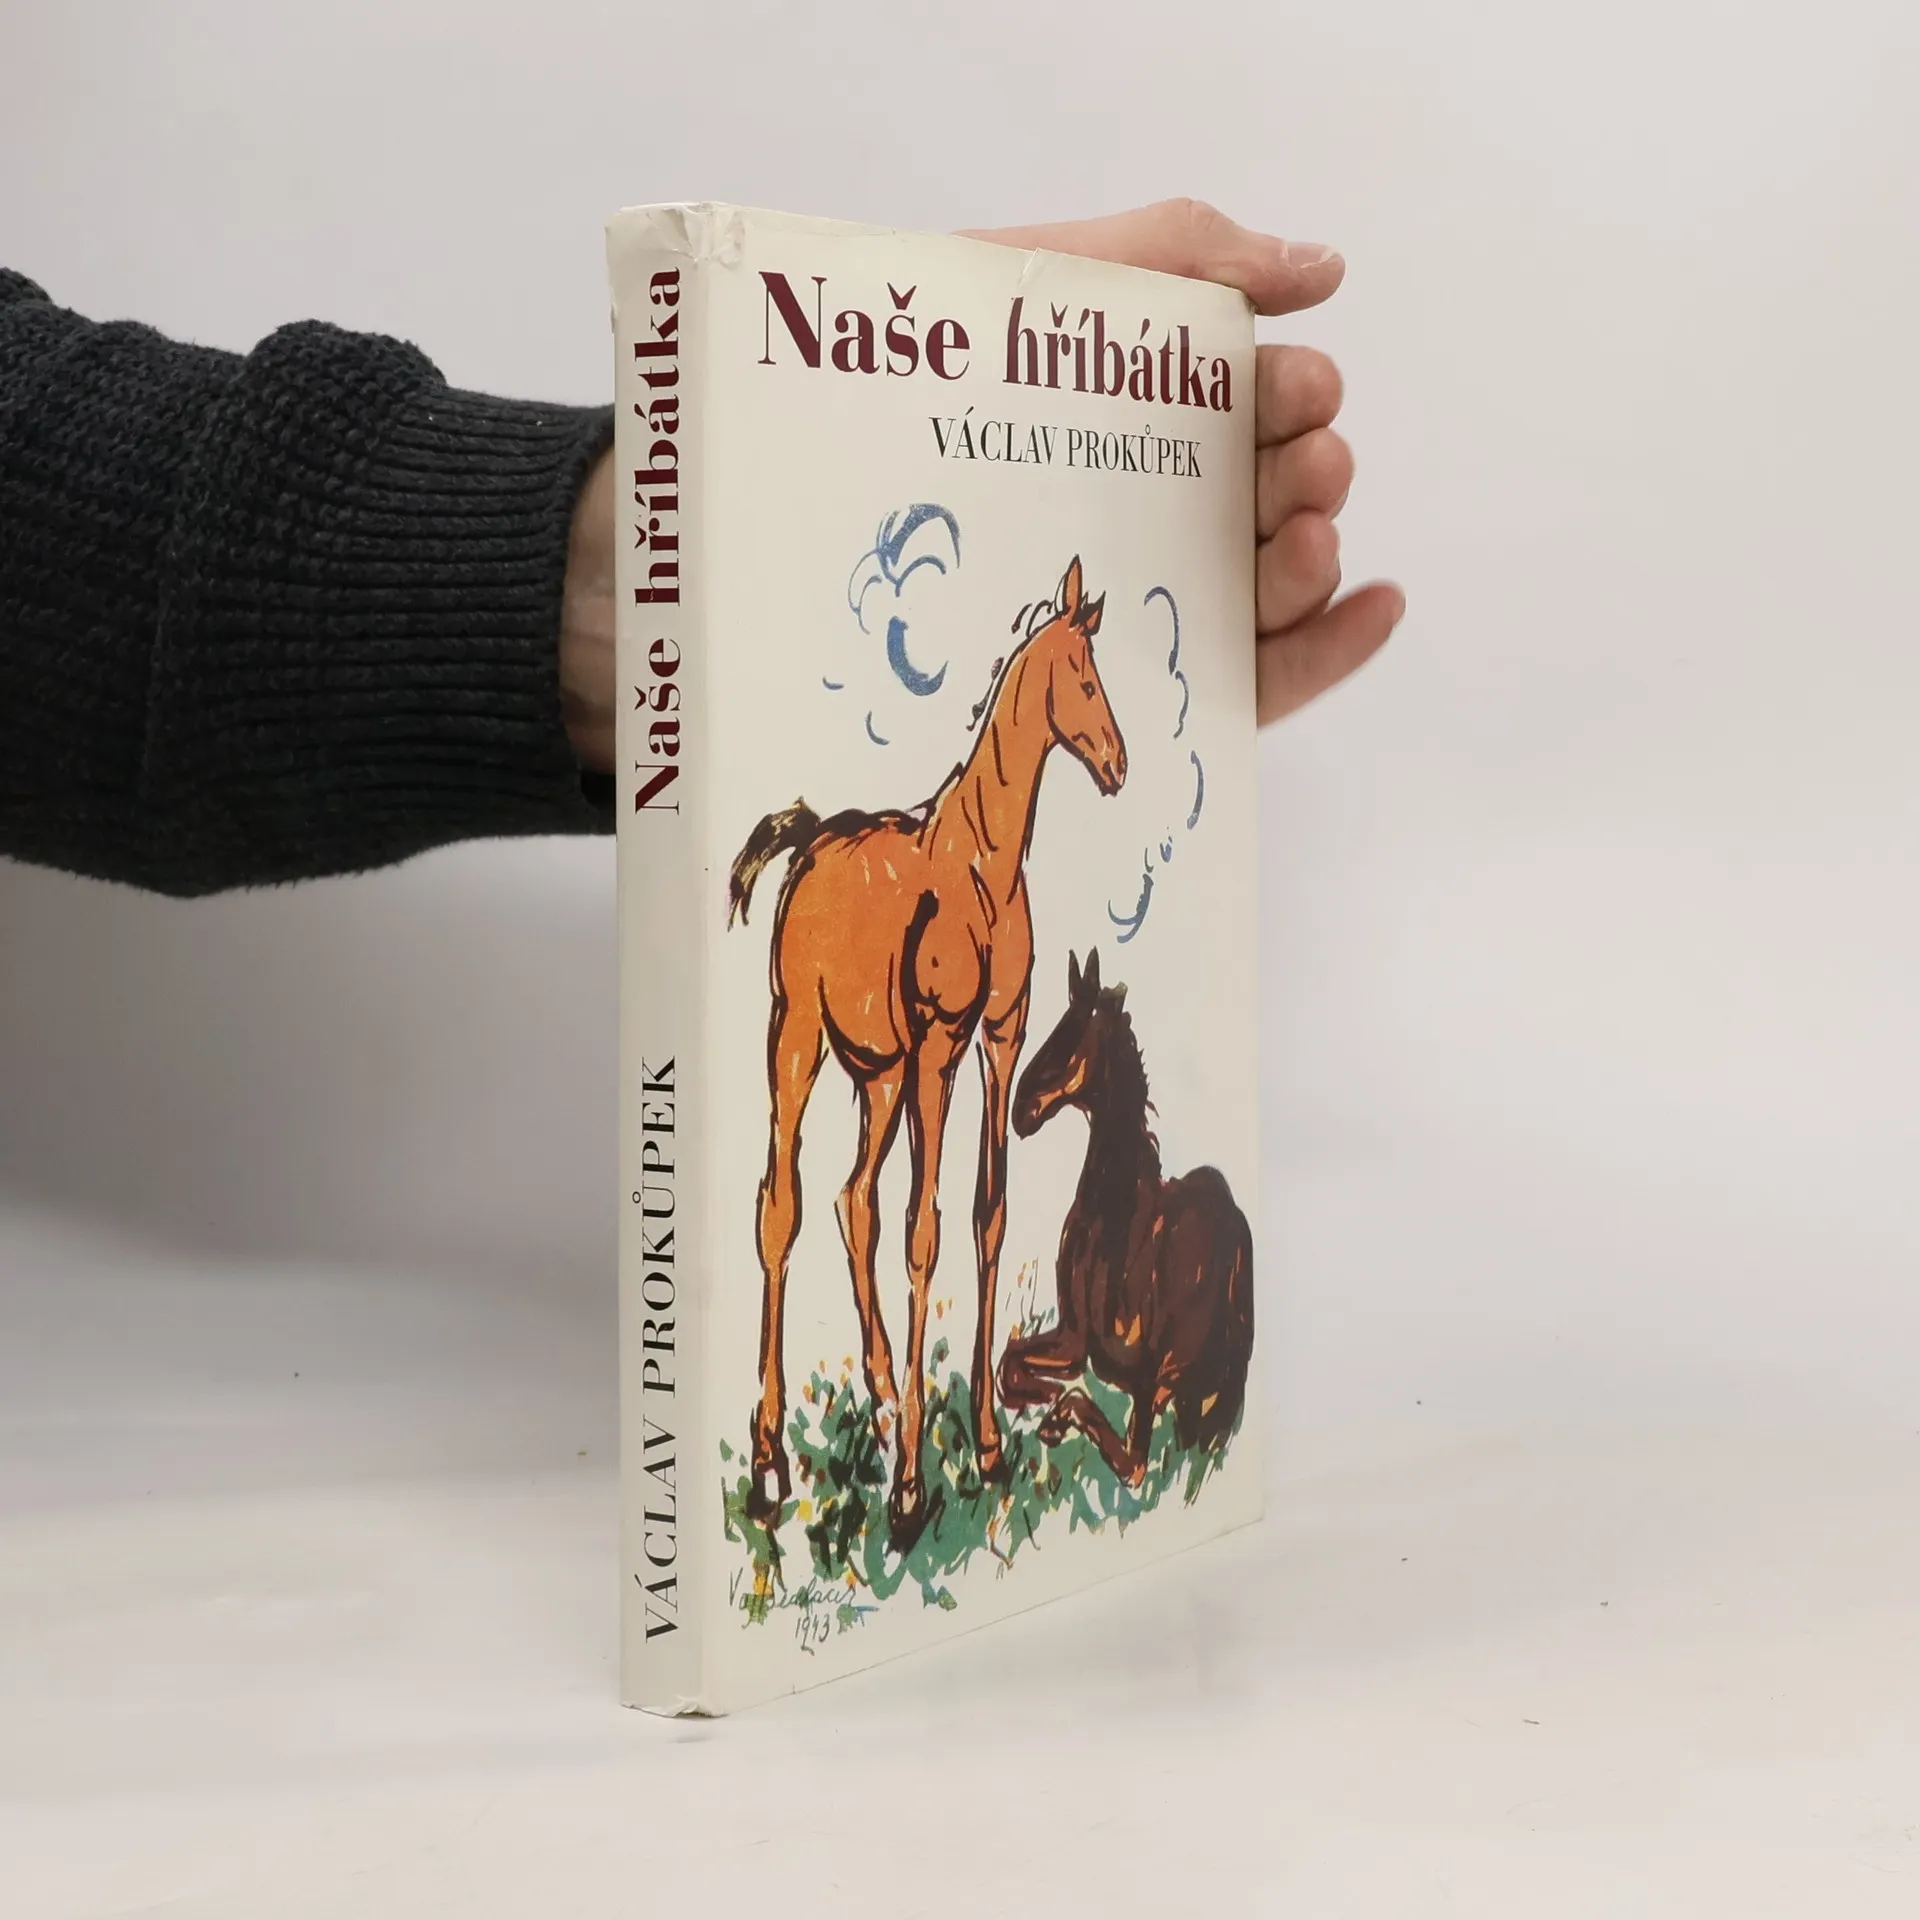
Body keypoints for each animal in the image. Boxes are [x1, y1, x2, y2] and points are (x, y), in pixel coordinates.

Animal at [727, 557, 1127, 1547]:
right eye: (1084, 677)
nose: (1117, 763)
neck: (983, 865)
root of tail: (810, 839)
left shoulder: (1000, 1035)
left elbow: (986, 1215)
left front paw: (983, 1446)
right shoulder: (943, 1044)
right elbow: (926, 1230)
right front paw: (911, 1489)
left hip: (877, 1074)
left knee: (851, 1198)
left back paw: (875, 1402)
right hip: (798, 1038)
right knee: (782, 1206)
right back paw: (770, 1464)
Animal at [999, 948, 1254, 1485]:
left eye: (1073, 1037)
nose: (1021, 1109)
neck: (1118, 1225)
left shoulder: (1148, 1385)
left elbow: (1120, 1449)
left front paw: (1052, 1416)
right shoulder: (1073, 1342)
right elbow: (1009, 1362)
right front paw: (1038, 1397)